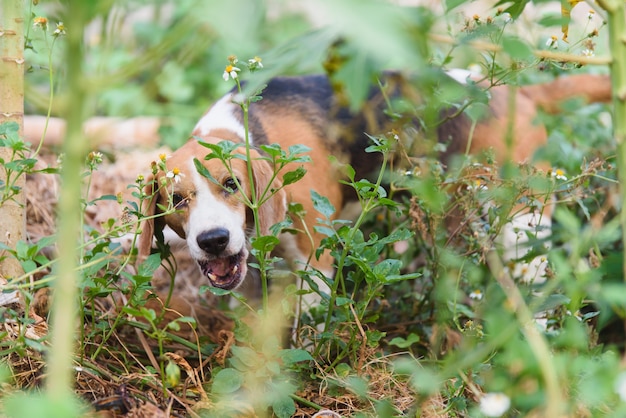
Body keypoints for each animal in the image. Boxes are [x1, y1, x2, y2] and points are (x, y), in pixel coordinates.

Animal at [136, 72, 608, 298]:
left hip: (519, 226)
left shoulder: (315, 259)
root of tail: (519, 95)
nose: (213, 240)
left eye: (231, 183)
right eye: (175, 199)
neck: (245, 128)